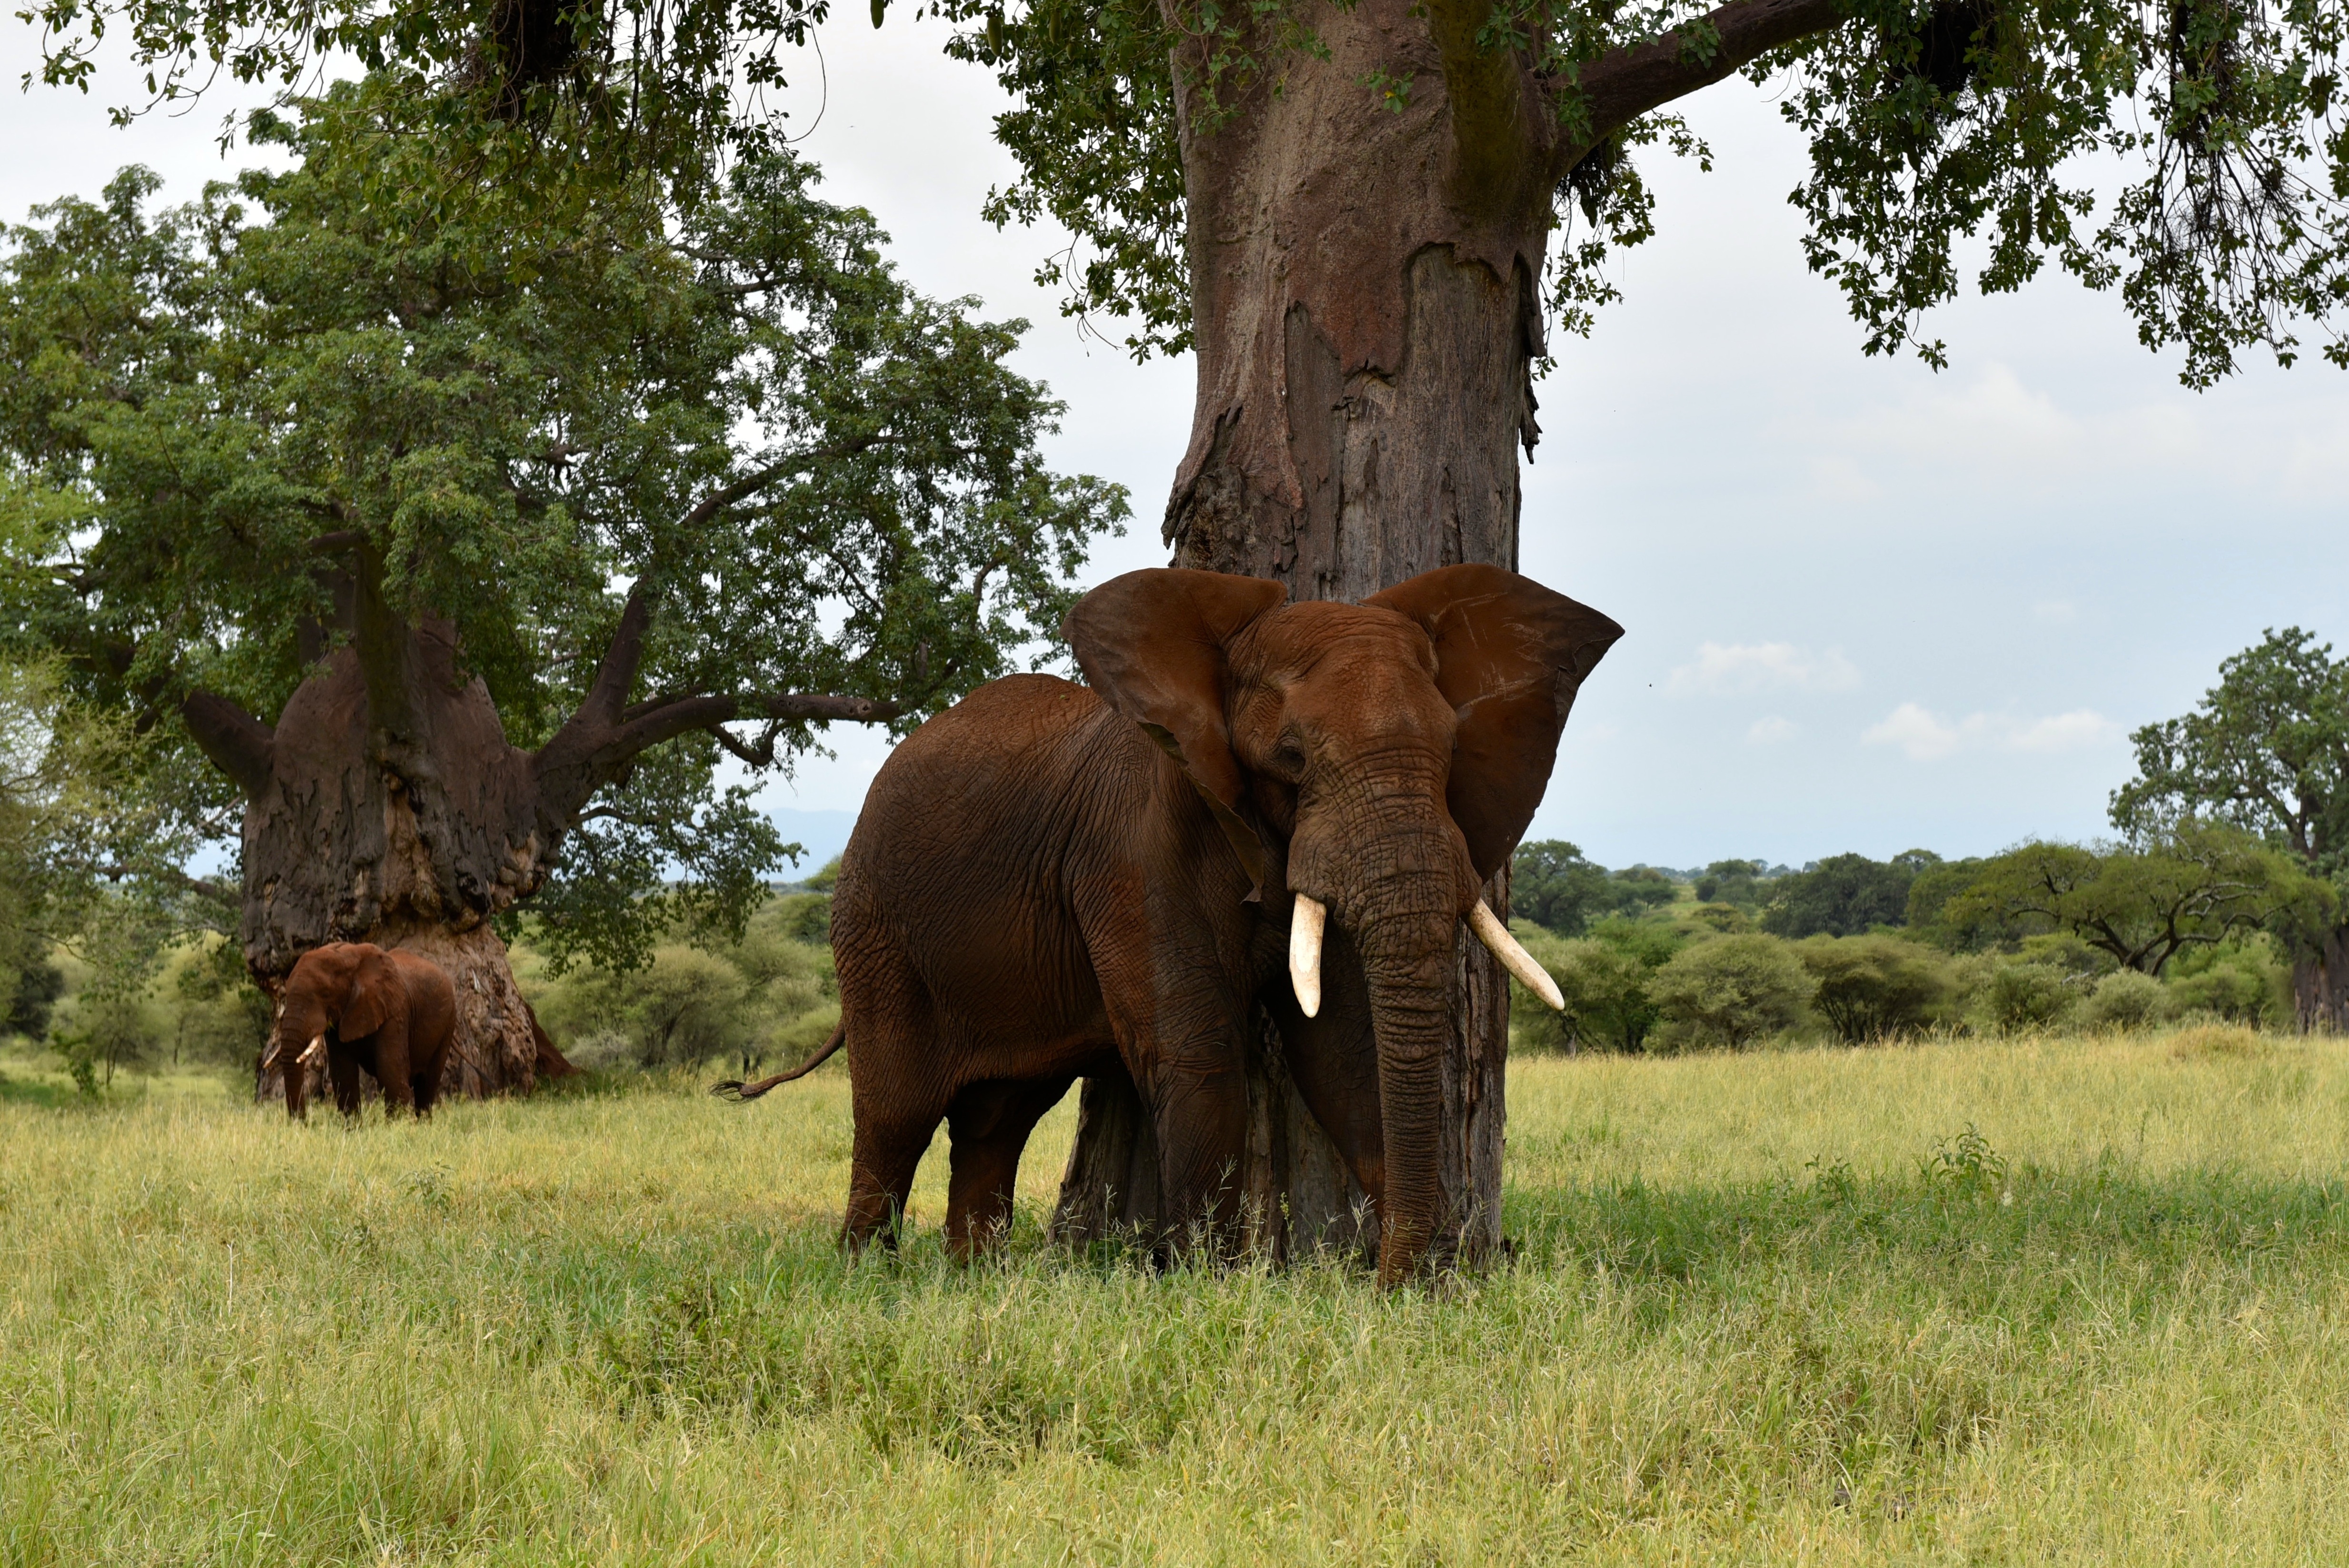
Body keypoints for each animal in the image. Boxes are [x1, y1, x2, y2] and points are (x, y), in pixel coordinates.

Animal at [264, 942, 461, 1121]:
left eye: (326, 994)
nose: (303, 1123)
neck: (347, 957)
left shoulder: (395, 1011)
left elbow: (390, 1068)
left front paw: (397, 1127)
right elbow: (343, 1072)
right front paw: (352, 1128)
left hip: (449, 1022)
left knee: (427, 1083)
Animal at [763, 563, 1618, 1284]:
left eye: (1449, 752)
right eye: (1291, 757)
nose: (1390, 1280)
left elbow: (1343, 1053)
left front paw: (1418, 1280)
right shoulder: (1138, 849)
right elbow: (1197, 1054)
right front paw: (1214, 1285)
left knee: (997, 1118)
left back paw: (976, 1278)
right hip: (874, 930)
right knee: (894, 1114)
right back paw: (865, 1276)